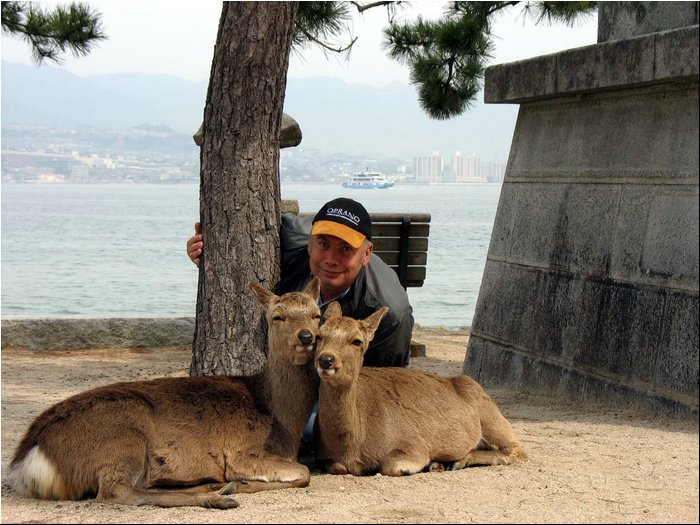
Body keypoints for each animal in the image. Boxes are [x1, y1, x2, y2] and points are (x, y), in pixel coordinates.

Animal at [6, 278, 324, 508]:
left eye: (316, 314)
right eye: (277, 317)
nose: (307, 336)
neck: (280, 419)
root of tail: (26, 460)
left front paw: (234, 484)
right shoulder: (241, 452)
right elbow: (303, 473)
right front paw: (239, 484)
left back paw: (210, 487)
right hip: (122, 438)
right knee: (116, 492)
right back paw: (213, 497)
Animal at [312, 300, 524, 476]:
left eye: (357, 341)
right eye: (319, 336)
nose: (326, 359)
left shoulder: (414, 444)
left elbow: (391, 466)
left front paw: (425, 463)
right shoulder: (326, 457)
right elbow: (337, 467)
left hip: (492, 419)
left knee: (517, 449)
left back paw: (453, 462)